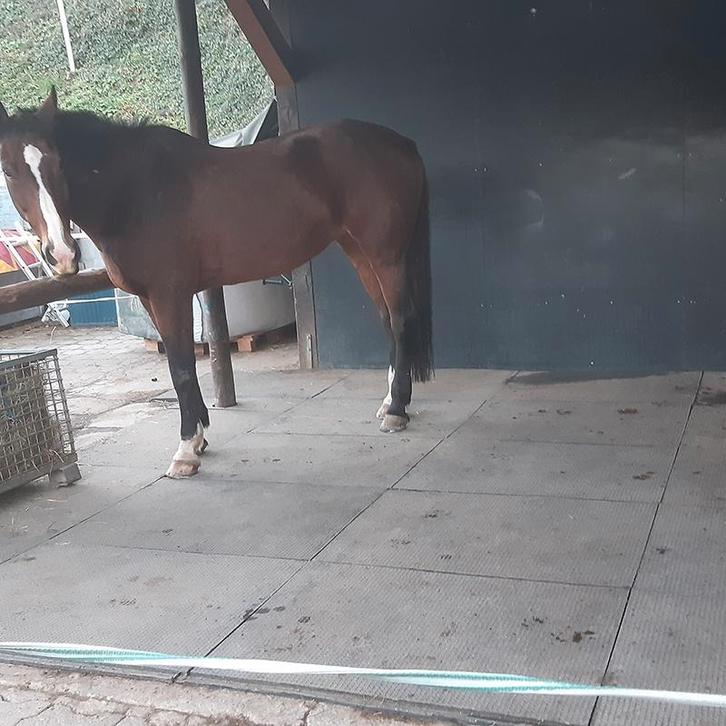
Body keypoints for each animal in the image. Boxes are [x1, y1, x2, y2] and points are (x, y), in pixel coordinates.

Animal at [0, 89, 433, 478]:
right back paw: (388, 401)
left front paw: (185, 450)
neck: (135, 192)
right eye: (8, 169)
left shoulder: (170, 295)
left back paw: (397, 411)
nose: (62, 255)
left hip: (386, 255)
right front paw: (200, 438)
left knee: (400, 320)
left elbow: (180, 367)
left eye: (57, 163)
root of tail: (401, 143)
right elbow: (181, 367)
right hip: (359, 252)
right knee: (387, 320)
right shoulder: (151, 299)